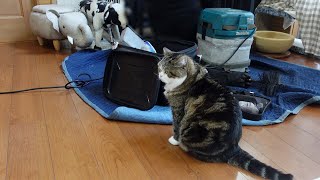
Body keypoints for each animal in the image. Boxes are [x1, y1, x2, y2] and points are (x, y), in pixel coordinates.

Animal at [157, 47, 292, 180]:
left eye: (167, 71)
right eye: (159, 68)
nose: (159, 75)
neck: (191, 77)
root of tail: (233, 148)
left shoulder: (178, 110)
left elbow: (176, 127)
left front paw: (174, 140)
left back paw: (183, 145)